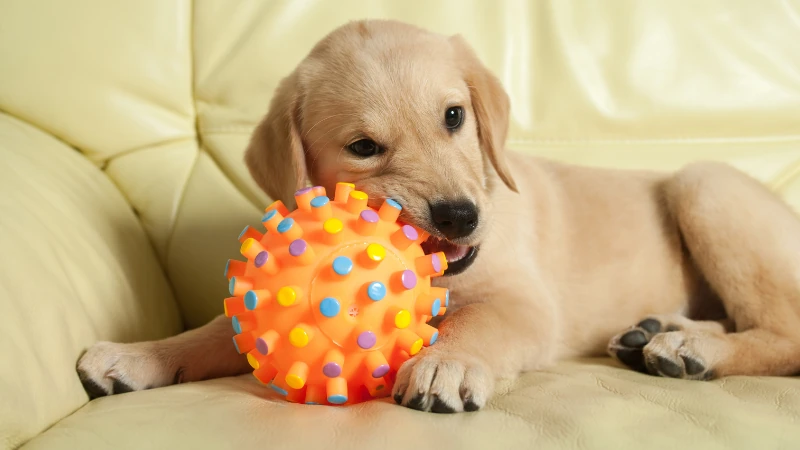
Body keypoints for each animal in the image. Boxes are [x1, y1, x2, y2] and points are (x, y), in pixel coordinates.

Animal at [78, 19, 800, 414]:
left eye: (454, 116)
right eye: (363, 147)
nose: (458, 216)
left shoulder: (522, 304)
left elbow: (471, 327)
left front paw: (443, 366)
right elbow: (211, 333)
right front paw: (139, 355)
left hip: (704, 185)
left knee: (784, 332)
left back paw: (688, 348)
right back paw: (655, 332)